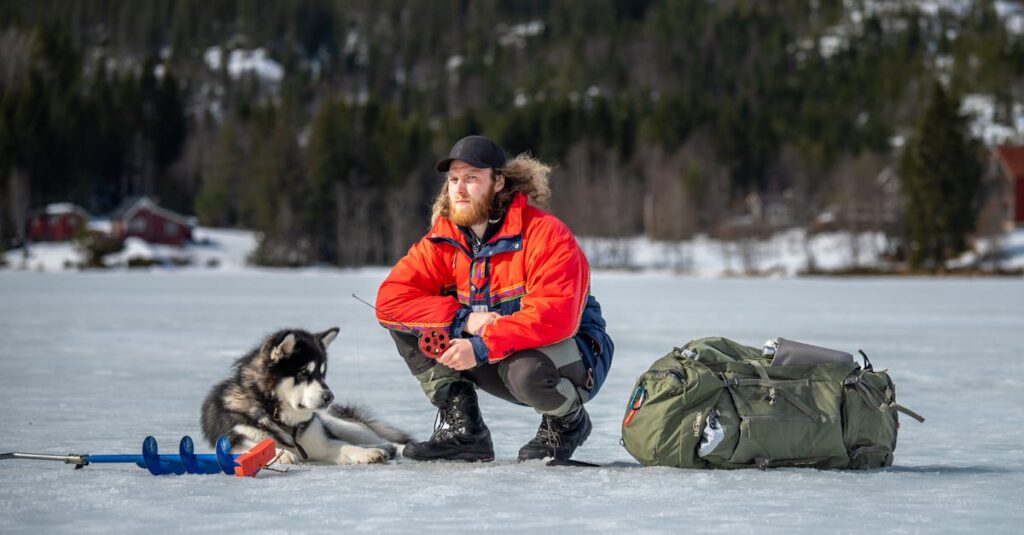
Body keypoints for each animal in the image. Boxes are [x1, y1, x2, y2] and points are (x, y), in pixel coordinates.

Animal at [199, 323, 411, 461]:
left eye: (322, 374)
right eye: (303, 373)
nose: (329, 397)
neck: (278, 415)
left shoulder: (320, 441)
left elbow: (345, 445)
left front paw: (367, 453)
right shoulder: (232, 437)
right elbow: (252, 447)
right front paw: (281, 456)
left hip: (344, 426)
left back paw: (395, 448)